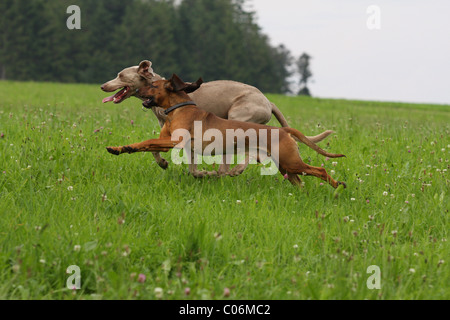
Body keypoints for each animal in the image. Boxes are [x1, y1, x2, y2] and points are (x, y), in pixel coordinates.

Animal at [107, 75, 346, 189]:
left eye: (152, 85)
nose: (137, 90)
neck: (178, 108)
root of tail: (283, 129)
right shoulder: (166, 141)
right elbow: (149, 146)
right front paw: (119, 148)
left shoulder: (173, 141)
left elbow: (146, 142)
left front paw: (126, 147)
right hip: (286, 166)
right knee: (300, 181)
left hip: (290, 161)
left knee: (321, 170)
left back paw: (337, 186)